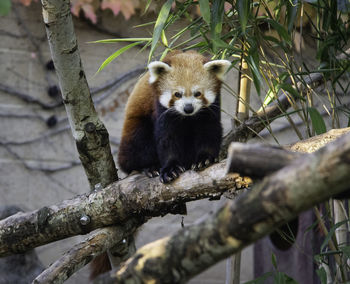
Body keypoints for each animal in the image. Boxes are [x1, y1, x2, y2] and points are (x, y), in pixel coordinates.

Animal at [118, 50, 232, 184]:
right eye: (177, 94)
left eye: (197, 93)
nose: (188, 108)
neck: (187, 117)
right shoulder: (161, 108)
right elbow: (167, 138)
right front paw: (170, 168)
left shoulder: (210, 109)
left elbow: (209, 131)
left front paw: (204, 159)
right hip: (137, 124)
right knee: (138, 143)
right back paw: (150, 167)